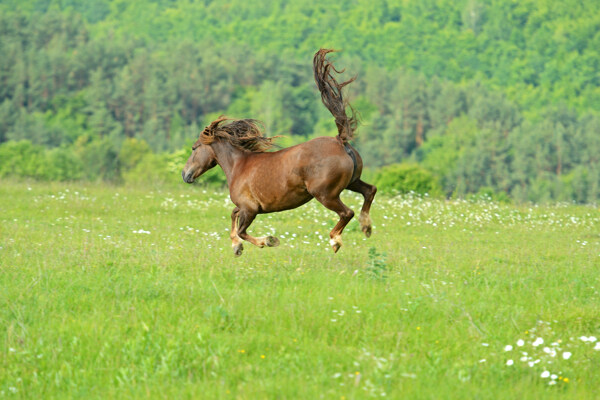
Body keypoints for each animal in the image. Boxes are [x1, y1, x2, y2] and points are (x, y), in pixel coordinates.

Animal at [183, 49, 378, 256]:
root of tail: (339, 141)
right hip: (352, 182)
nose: (184, 174)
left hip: (325, 194)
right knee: (370, 191)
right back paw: (366, 227)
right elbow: (233, 215)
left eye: (194, 148)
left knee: (347, 212)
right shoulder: (245, 207)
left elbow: (242, 229)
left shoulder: (250, 209)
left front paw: (268, 241)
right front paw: (237, 246)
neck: (238, 166)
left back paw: (336, 240)